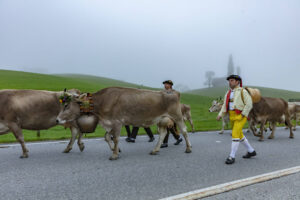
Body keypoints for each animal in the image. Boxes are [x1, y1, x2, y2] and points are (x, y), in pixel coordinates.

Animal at [56, 86, 192, 160]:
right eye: (63, 104)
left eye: (67, 105)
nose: (57, 119)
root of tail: (174, 92)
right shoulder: (110, 123)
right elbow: (106, 137)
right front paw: (115, 150)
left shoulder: (117, 122)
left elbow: (115, 138)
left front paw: (114, 155)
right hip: (162, 119)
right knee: (163, 133)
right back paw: (155, 150)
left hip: (177, 116)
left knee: (184, 131)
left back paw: (188, 148)